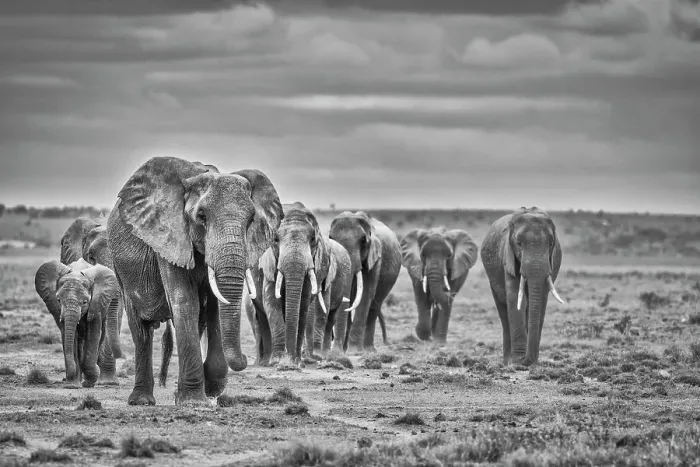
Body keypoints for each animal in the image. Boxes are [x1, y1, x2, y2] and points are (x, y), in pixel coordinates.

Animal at [34, 259, 121, 387]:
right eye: (58, 300)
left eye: (85, 302)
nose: (65, 379)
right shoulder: (59, 310)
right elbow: (68, 334)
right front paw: (72, 386)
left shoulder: (96, 304)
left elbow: (93, 333)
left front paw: (88, 382)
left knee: (99, 336)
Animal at [107, 157, 282, 405]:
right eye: (201, 217)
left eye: (250, 221)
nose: (247, 359)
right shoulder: (170, 236)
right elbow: (185, 301)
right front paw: (193, 401)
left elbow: (214, 306)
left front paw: (210, 390)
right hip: (121, 269)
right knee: (140, 329)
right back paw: (142, 401)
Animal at [328, 211, 401, 354]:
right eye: (330, 238)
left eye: (363, 240)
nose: (335, 351)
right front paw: (340, 352)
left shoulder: (376, 259)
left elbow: (366, 295)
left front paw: (355, 352)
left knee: (374, 306)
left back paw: (368, 350)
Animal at [480, 206, 566, 366]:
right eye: (519, 243)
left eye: (551, 243)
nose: (526, 361)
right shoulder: (508, 258)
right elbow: (516, 298)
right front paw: (517, 362)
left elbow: (540, 301)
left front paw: (530, 361)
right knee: (503, 310)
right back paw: (507, 362)